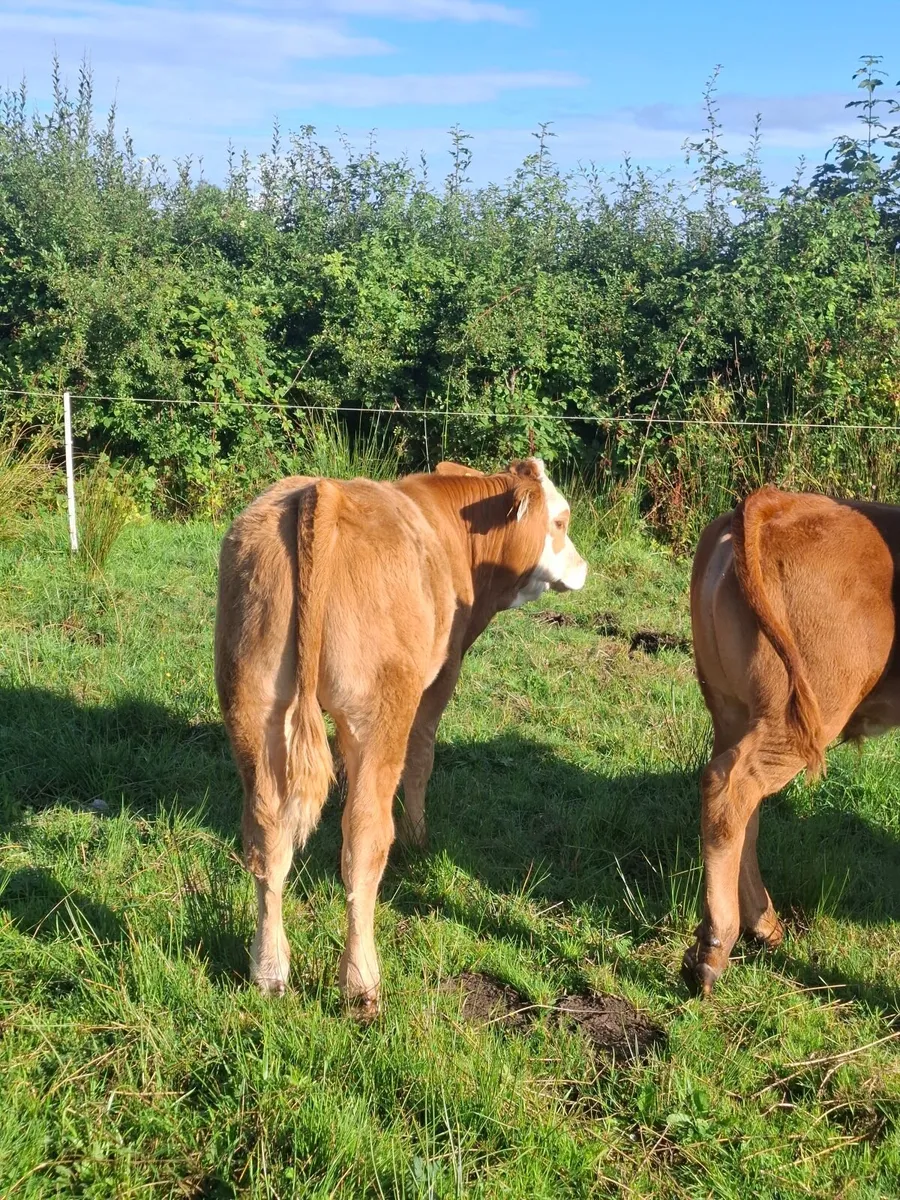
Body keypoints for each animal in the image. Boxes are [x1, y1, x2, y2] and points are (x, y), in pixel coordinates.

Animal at [215, 458, 587, 1012]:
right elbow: (422, 758)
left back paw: (269, 971)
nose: (584, 567)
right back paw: (361, 983)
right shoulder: (439, 679)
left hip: (253, 706)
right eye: (560, 521)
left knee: (266, 838)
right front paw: (419, 837)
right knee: (363, 841)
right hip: (379, 713)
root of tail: (322, 492)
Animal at [683, 485, 899, 995]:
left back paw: (762, 925)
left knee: (740, 803)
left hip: (733, 709)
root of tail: (778, 502)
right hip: (804, 714)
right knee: (731, 788)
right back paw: (715, 947)